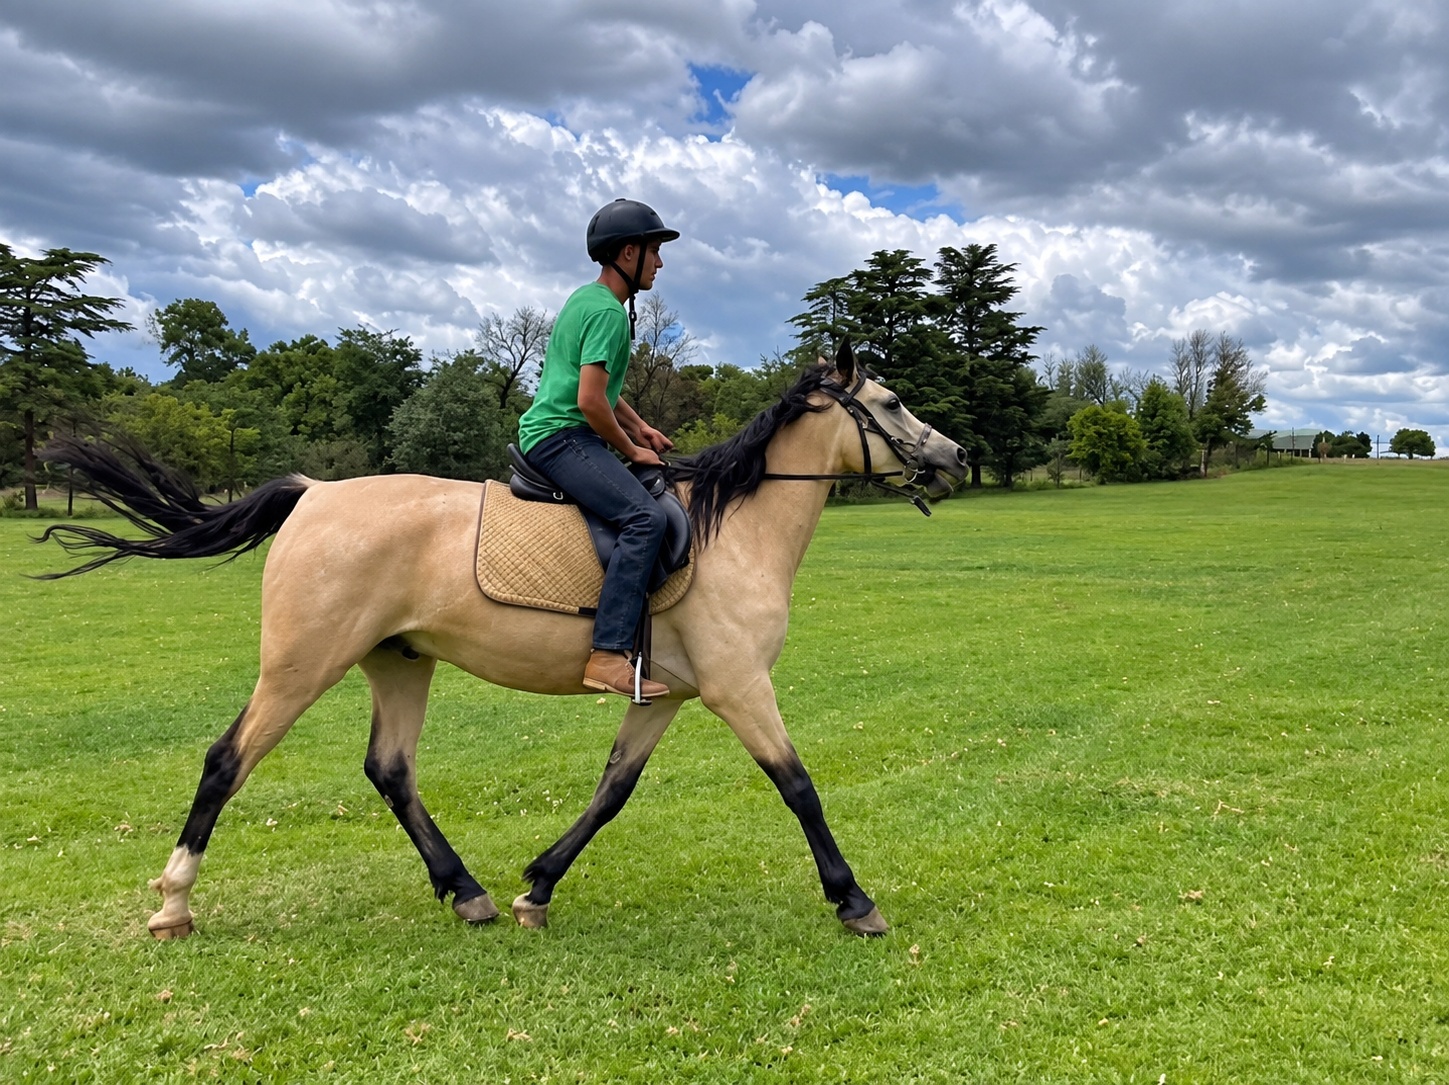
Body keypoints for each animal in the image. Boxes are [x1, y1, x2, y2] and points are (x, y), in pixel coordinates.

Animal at [38, 341, 967, 940]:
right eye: (890, 404)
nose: (957, 456)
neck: (730, 529)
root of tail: (315, 492)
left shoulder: (666, 695)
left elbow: (612, 791)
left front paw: (538, 887)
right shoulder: (740, 687)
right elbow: (798, 786)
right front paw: (854, 900)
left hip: (398, 662)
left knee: (390, 770)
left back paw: (468, 892)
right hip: (302, 665)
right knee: (227, 761)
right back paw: (173, 903)